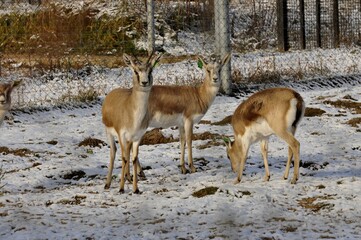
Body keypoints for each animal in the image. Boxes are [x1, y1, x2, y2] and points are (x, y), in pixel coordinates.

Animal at [102, 52, 162, 193]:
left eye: (150, 70)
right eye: (135, 71)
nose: (144, 82)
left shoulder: (137, 137)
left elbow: (133, 158)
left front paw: (136, 189)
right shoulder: (122, 135)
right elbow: (124, 158)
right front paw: (121, 188)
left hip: (128, 139)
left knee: (127, 152)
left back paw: (128, 177)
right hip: (109, 133)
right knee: (114, 152)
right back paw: (107, 183)